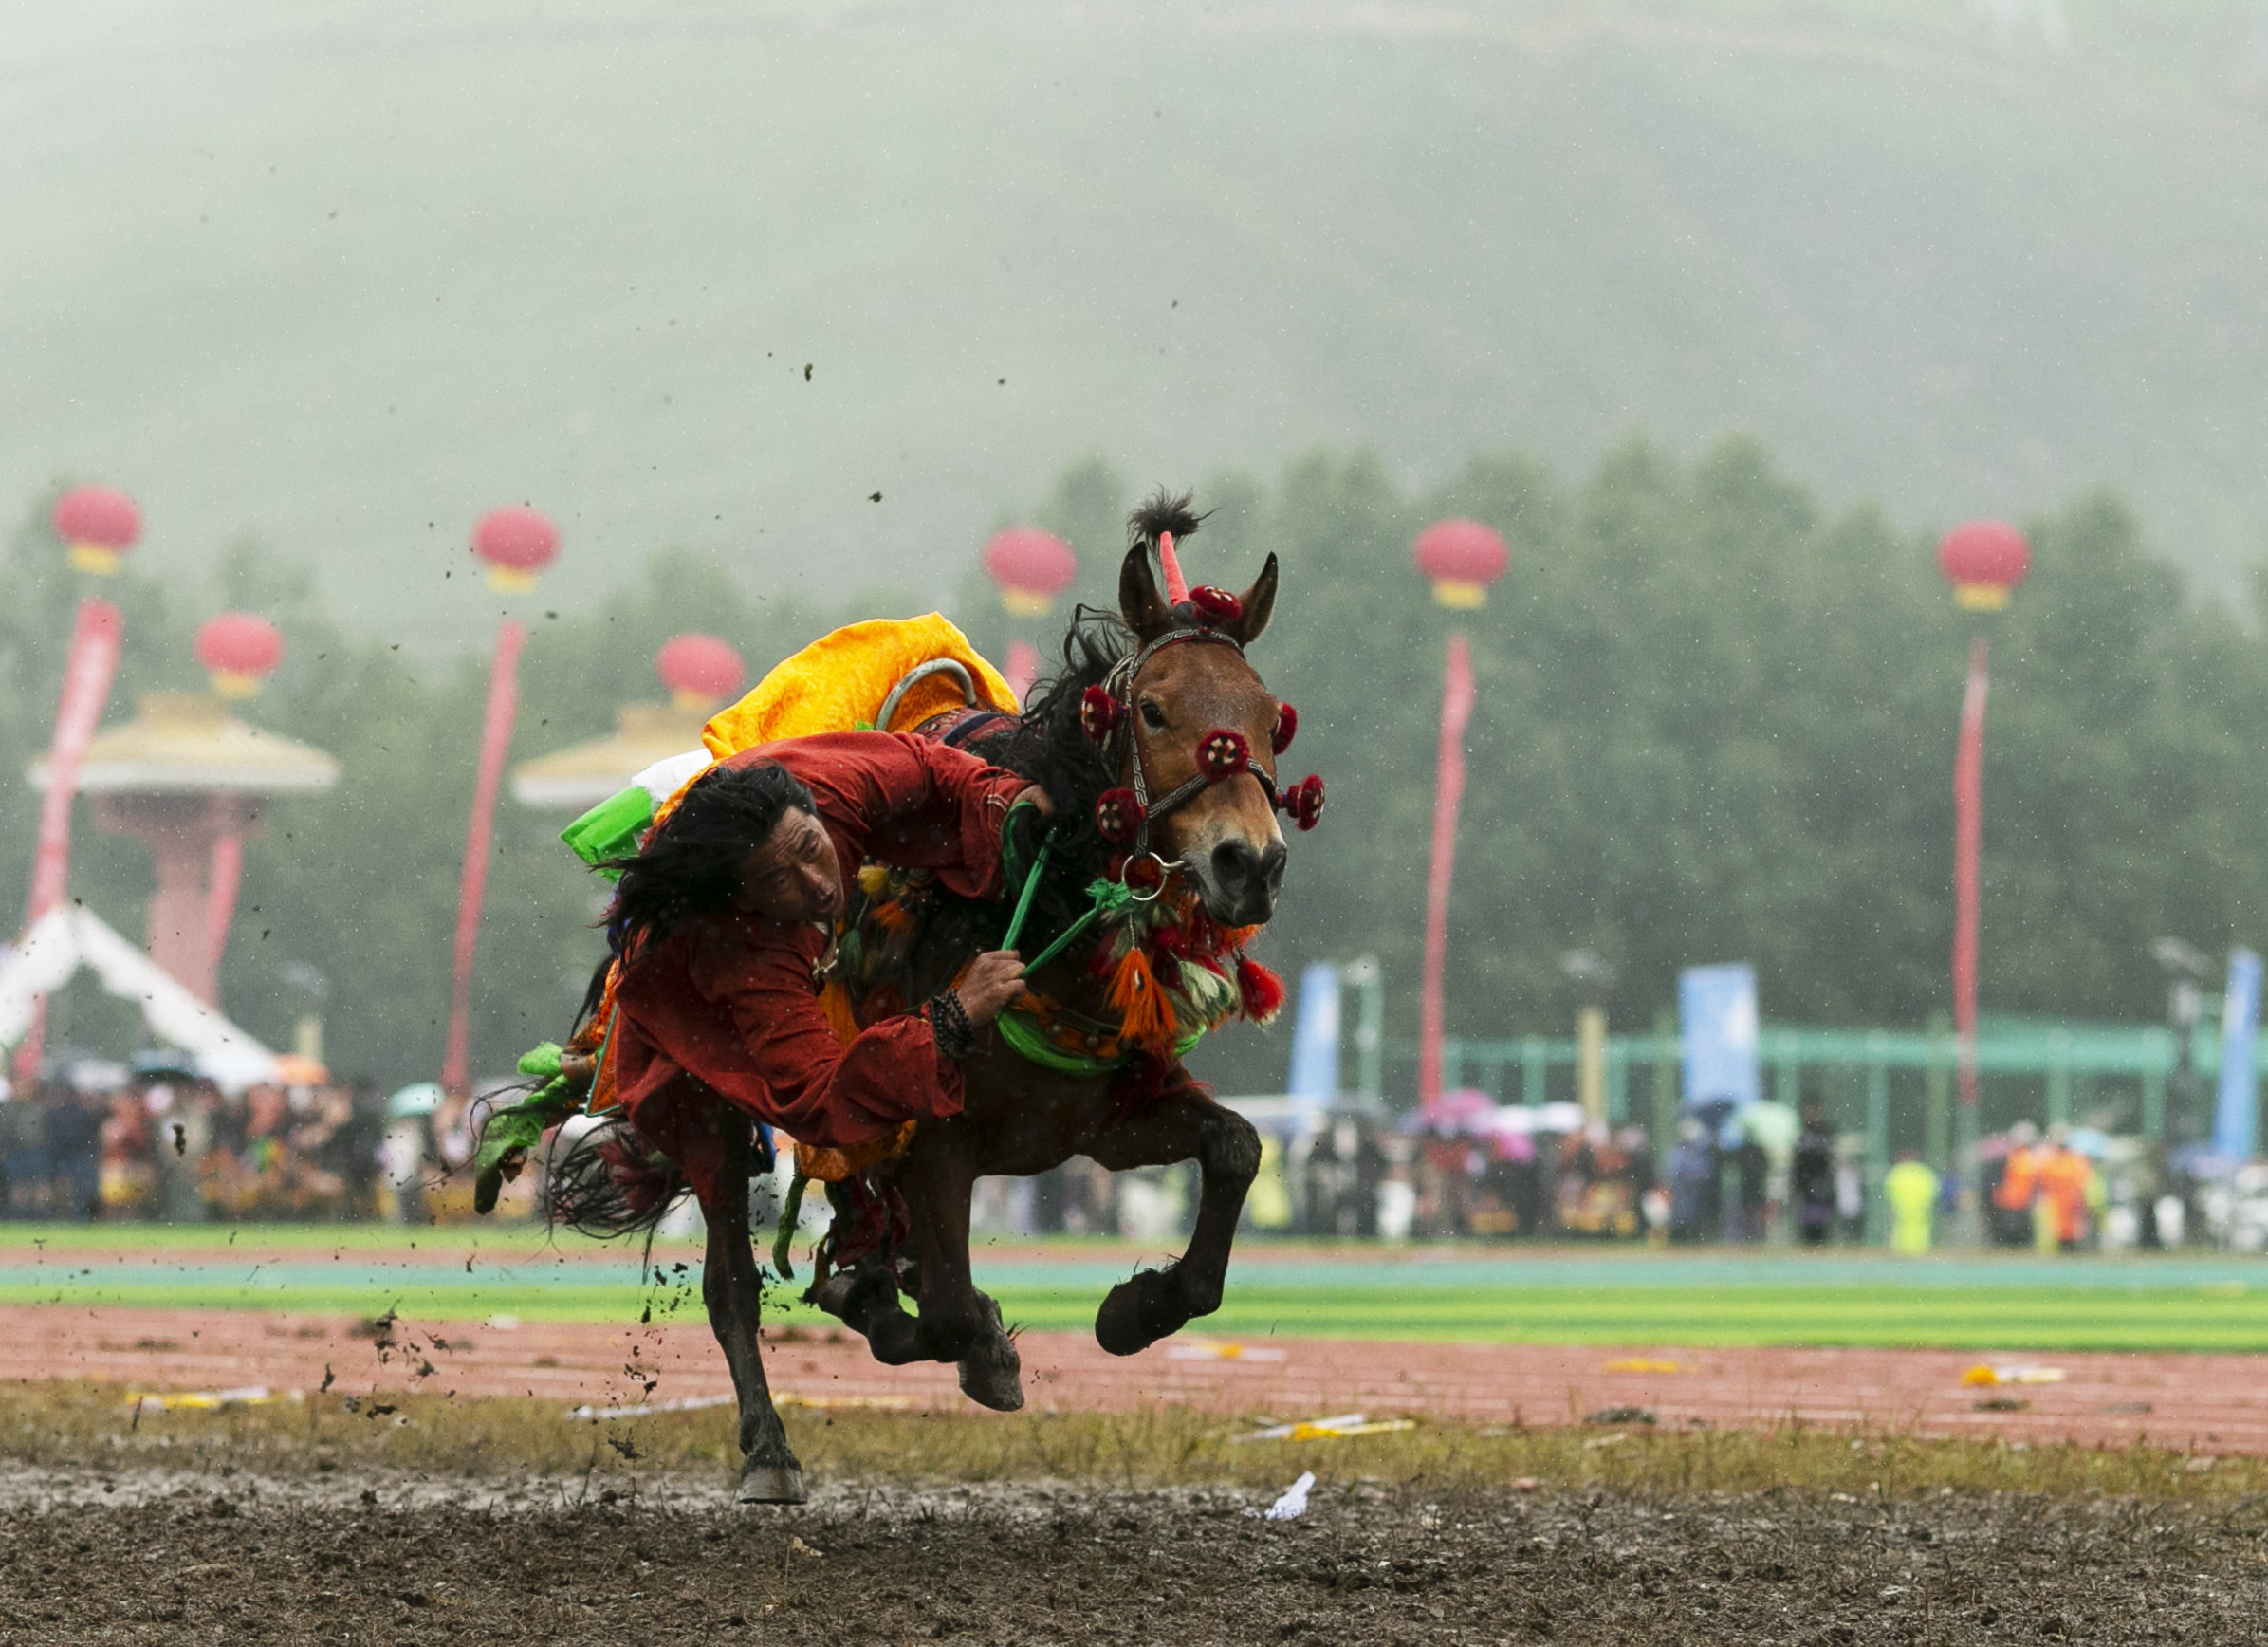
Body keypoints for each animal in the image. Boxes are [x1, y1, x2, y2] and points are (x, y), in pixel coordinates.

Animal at [707, 494, 1315, 1506]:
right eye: (1153, 709)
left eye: (1272, 718)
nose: (1250, 864)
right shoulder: (936, 1137)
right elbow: (949, 1311)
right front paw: (921, 1319)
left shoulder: (1099, 1120)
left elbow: (1234, 1148)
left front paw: (1137, 1307)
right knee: (730, 1283)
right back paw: (769, 1447)